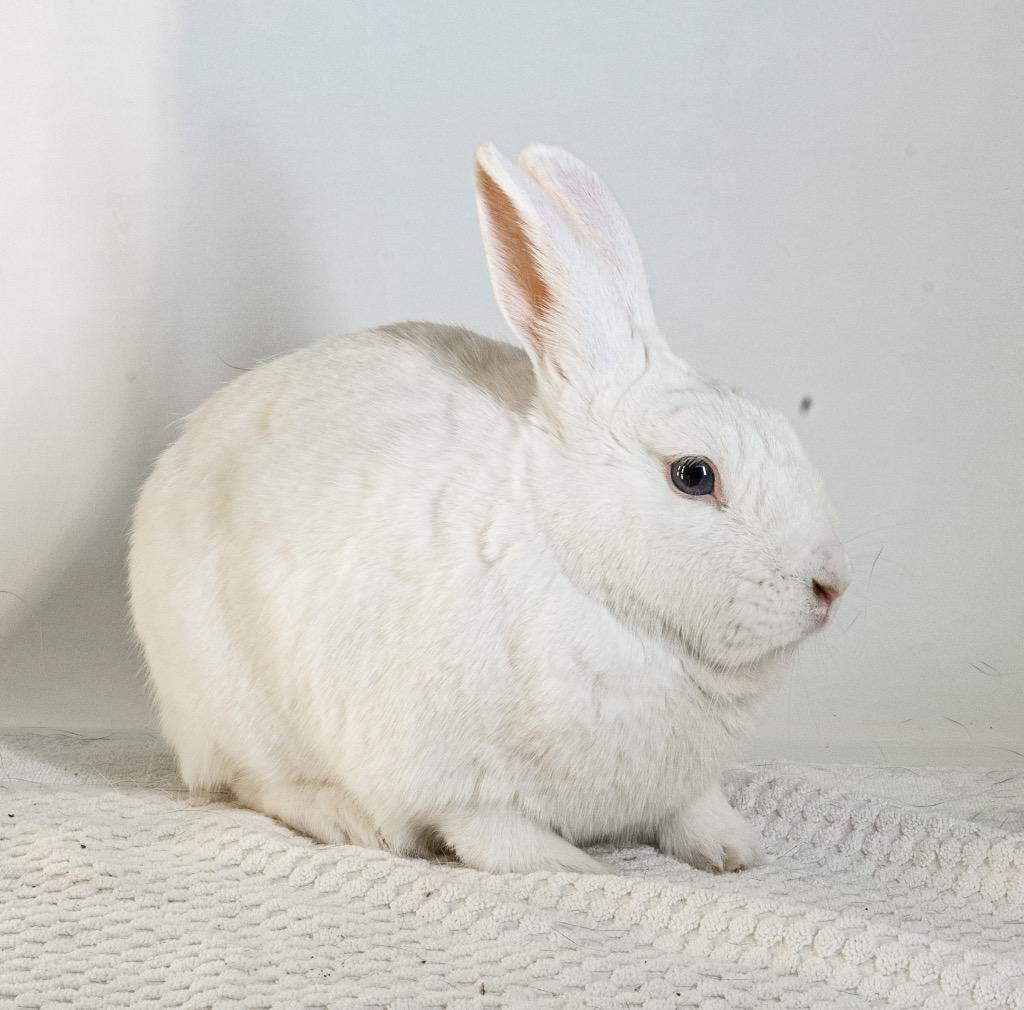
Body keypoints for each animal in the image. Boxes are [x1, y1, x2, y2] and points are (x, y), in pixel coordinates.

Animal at [129, 143, 850, 875]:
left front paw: (732, 851)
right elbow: (496, 834)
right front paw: (576, 868)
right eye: (695, 476)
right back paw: (348, 820)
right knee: (253, 782)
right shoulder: (456, 780)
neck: (585, 572)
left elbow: (694, 810)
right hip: (238, 709)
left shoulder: (681, 784)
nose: (831, 586)